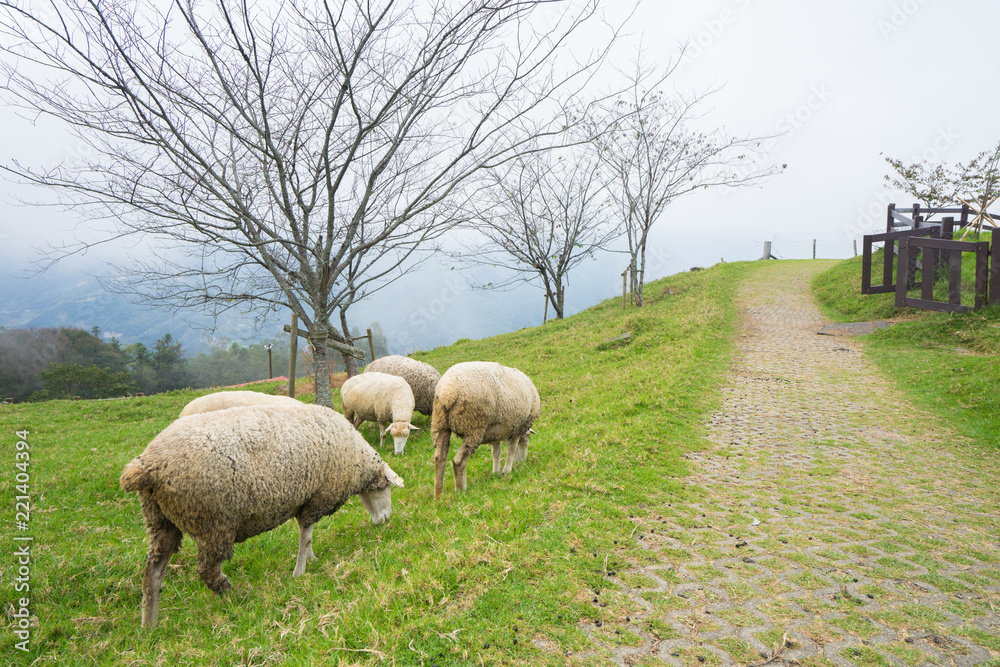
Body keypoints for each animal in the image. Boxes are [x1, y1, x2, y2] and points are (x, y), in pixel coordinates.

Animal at [119, 403, 404, 630]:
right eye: (386, 488)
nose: (386, 520)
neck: (356, 458)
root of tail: (145, 467)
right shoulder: (316, 498)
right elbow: (305, 536)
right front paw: (299, 572)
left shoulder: (306, 500)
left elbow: (307, 535)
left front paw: (311, 560)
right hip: (213, 521)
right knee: (207, 569)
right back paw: (229, 592)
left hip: (160, 520)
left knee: (152, 575)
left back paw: (149, 626)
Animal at [431, 361, 540, 499]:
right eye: (528, 438)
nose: (522, 462)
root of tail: (448, 391)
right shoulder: (519, 426)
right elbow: (512, 449)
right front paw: (506, 471)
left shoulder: (496, 432)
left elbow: (496, 452)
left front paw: (495, 472)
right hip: (474, 427)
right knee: (458, 462)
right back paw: (461, 491)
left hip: (440, 424)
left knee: (439, 459)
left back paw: (438, 496)